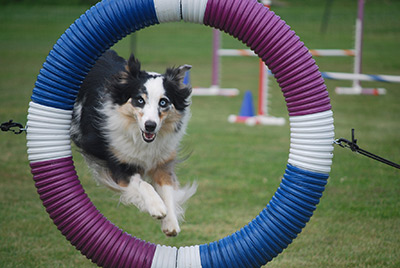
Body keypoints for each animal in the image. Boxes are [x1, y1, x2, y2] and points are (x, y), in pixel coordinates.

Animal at [72, 50, 198, 237]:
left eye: (163, 102)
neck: (139, 136)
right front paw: (156, 206)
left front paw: (170, 222)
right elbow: (142, 183)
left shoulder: (162, 163)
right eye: (139, 100)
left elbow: (168, 190)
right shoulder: (117, 163)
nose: (150, 126)